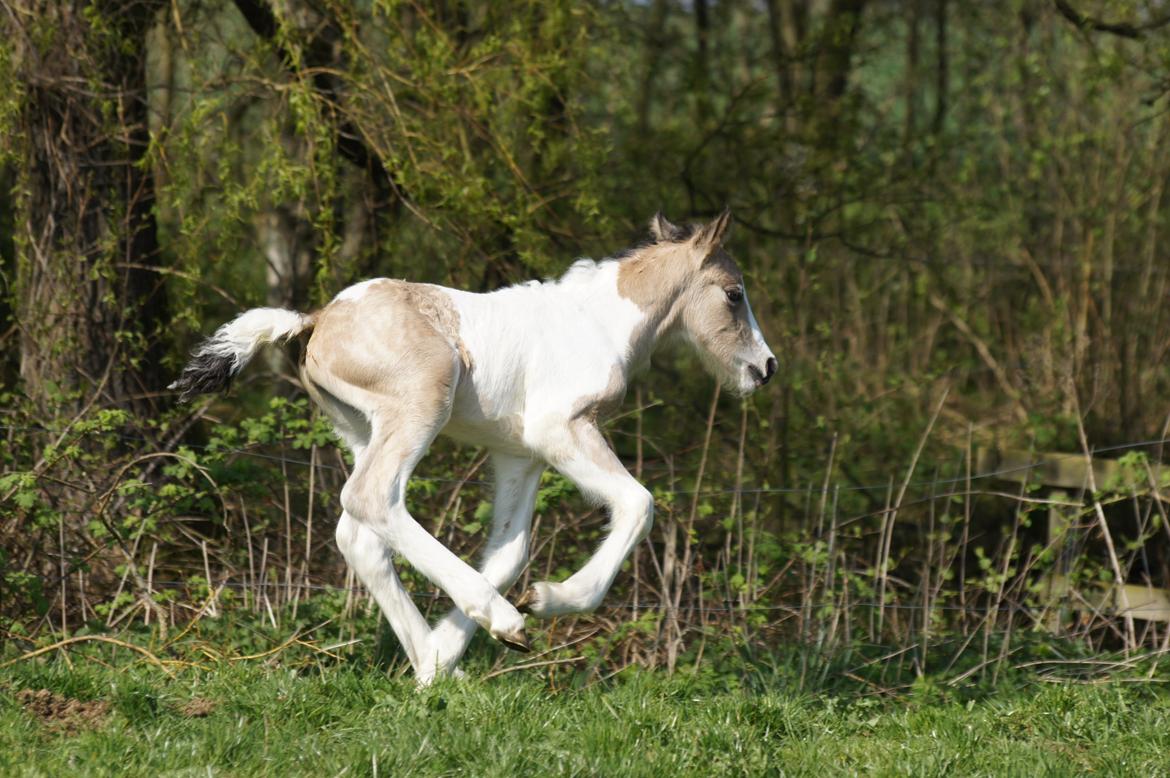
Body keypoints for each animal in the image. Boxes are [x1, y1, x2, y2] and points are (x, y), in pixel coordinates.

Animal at [170, 210, 776, 678]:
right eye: (734, 294)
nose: (766, 368)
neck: (599, 323)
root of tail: (316, 318)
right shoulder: (562, 428)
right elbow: (637, 504)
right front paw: (544, 602)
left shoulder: (520, 454)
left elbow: (508, 552)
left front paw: (455, 647)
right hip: (419, 407)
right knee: (373, 498)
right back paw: (496, 621)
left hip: (362, 429)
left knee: (358, 533)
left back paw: (435, 667)